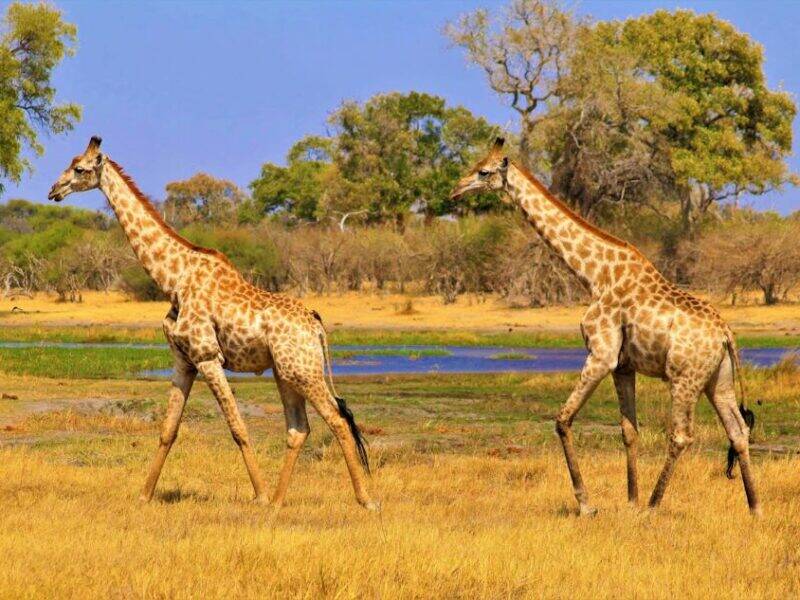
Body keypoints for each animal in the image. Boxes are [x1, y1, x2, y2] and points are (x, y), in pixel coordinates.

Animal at [47, 136, 379, 511]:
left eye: (79, 169)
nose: (54, 190)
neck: (173, 279)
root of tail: (317, 326)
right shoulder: (183, 361)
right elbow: (168, 430)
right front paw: (144, 494)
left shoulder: (208, 357)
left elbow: (238, 428)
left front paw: (259, 495)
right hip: (286, 372)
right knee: (299, 428)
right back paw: (279, 502)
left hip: (304, 371)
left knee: (338, 419)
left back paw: (364, 500)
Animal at [450, 138, 761, 516]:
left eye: (483, 171)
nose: (455, 189)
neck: (594, 275)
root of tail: (726, 336)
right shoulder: (623, 365)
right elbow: (629, 430)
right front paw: (629, 499)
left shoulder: (600, 355)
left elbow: (562, 419)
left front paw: (588, 504)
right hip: (718, 379)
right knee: (737, 431)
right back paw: (754, 507)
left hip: (684, 378)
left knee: (682, 435)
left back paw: (653, 507)